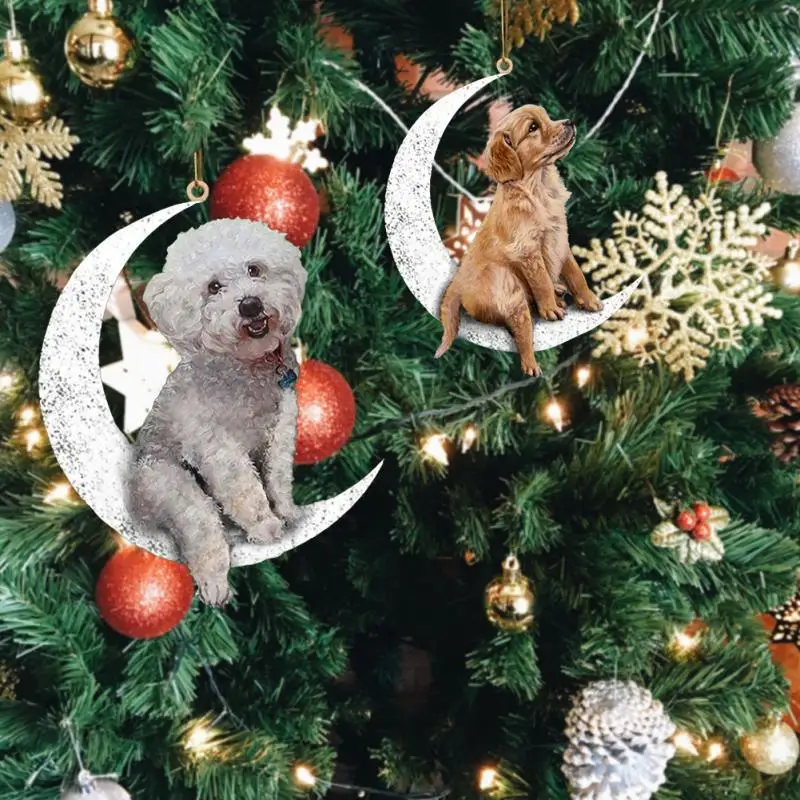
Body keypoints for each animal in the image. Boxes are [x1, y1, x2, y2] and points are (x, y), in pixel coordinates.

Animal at [126, 219, 308, 608]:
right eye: (213, 287)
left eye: (255, 269)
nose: (250, 305)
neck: (246, 369)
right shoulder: (216, 447)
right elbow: (244, 488)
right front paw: (265, 525)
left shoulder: (281, 427)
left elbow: (278, 475)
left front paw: (286, 510)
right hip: (169, 484)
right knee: (203, 527)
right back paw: (214, 584)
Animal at [438, 104, 600, 376]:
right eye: (533, 127)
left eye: (547, 117)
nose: (570, 122)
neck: (538, 186)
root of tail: (457, 284)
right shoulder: (527, 249)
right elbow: (541, 280)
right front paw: (550, 308)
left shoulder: (559, 238)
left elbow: (575, 273)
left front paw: (589, 300)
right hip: (507, 286)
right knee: (522, 327)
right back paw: (531, 363)